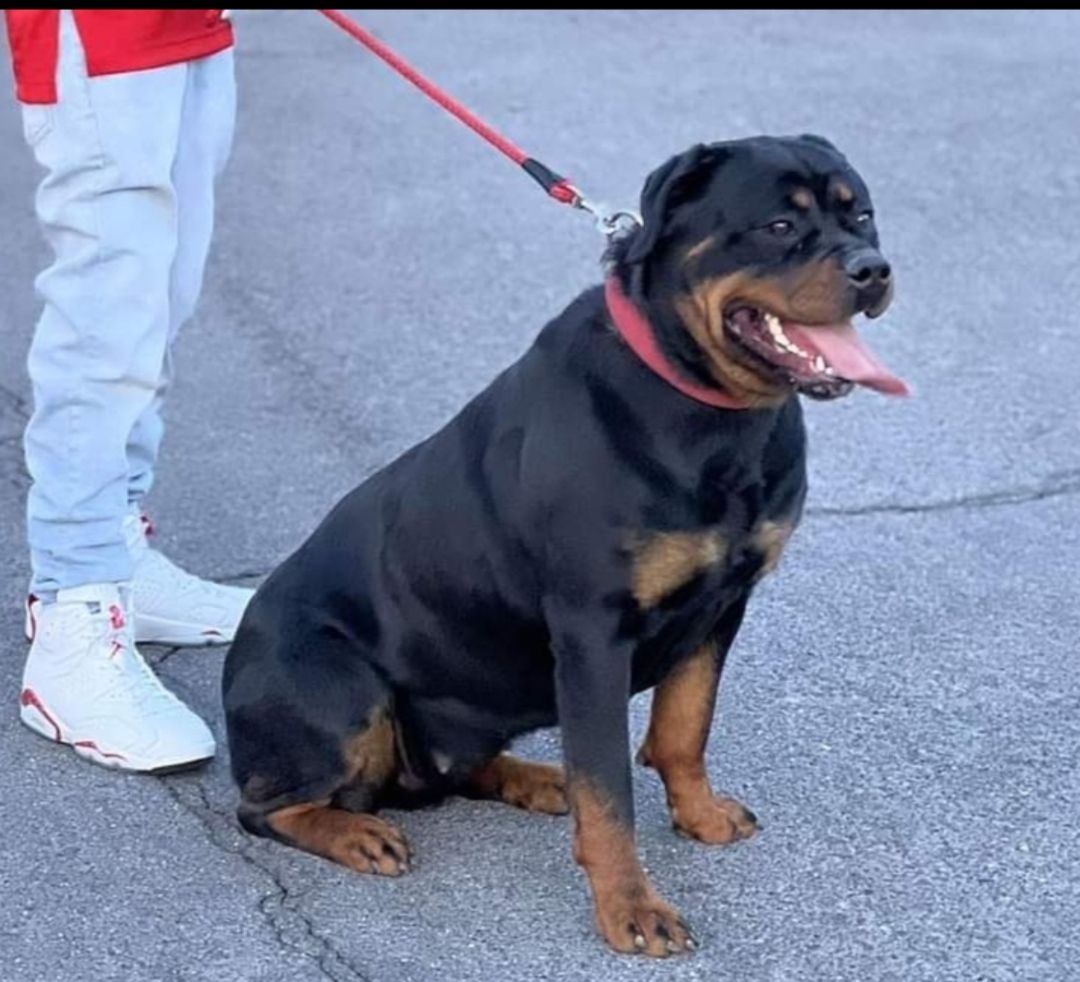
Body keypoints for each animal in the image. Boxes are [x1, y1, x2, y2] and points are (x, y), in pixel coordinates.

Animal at [223, 134, 906, 957]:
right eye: (779, 225)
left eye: (861, 214)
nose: (873, 269)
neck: (708, 411)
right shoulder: (592, 632)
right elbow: (609, 791)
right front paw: (631, 908)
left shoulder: (723, 604)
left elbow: (684, 726)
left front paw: (699, 815)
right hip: (337, 683)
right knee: (267, 808)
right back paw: (356, 833)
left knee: (452, 773)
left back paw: (536, 779)